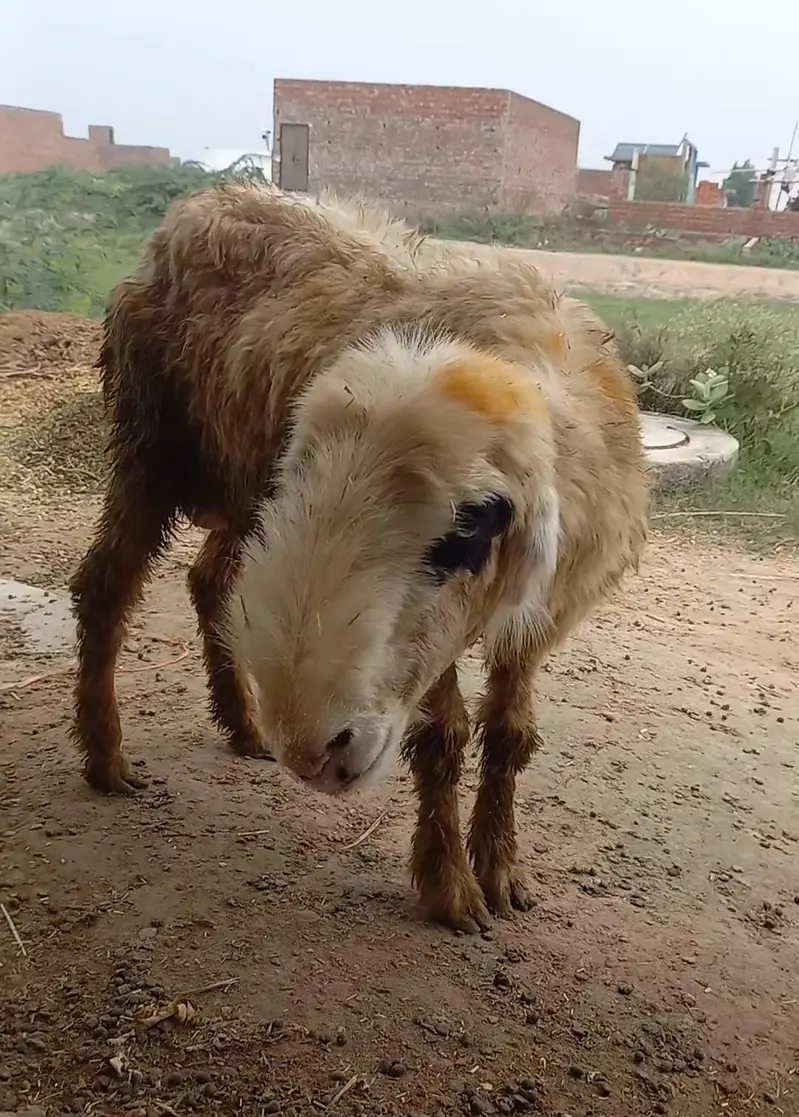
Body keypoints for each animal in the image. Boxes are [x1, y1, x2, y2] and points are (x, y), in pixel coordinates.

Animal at [70, 180, 648, 933]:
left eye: (471, 526)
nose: (314, 750)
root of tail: (205, 202)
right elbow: (443, 738)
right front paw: (449, 885)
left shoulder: (539, 615)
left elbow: (510, 734)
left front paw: (500, 869)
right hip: (154, 443)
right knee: (106, 586)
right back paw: (107, 759)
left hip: (243, 485)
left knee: (208, 581)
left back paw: (242, 725)